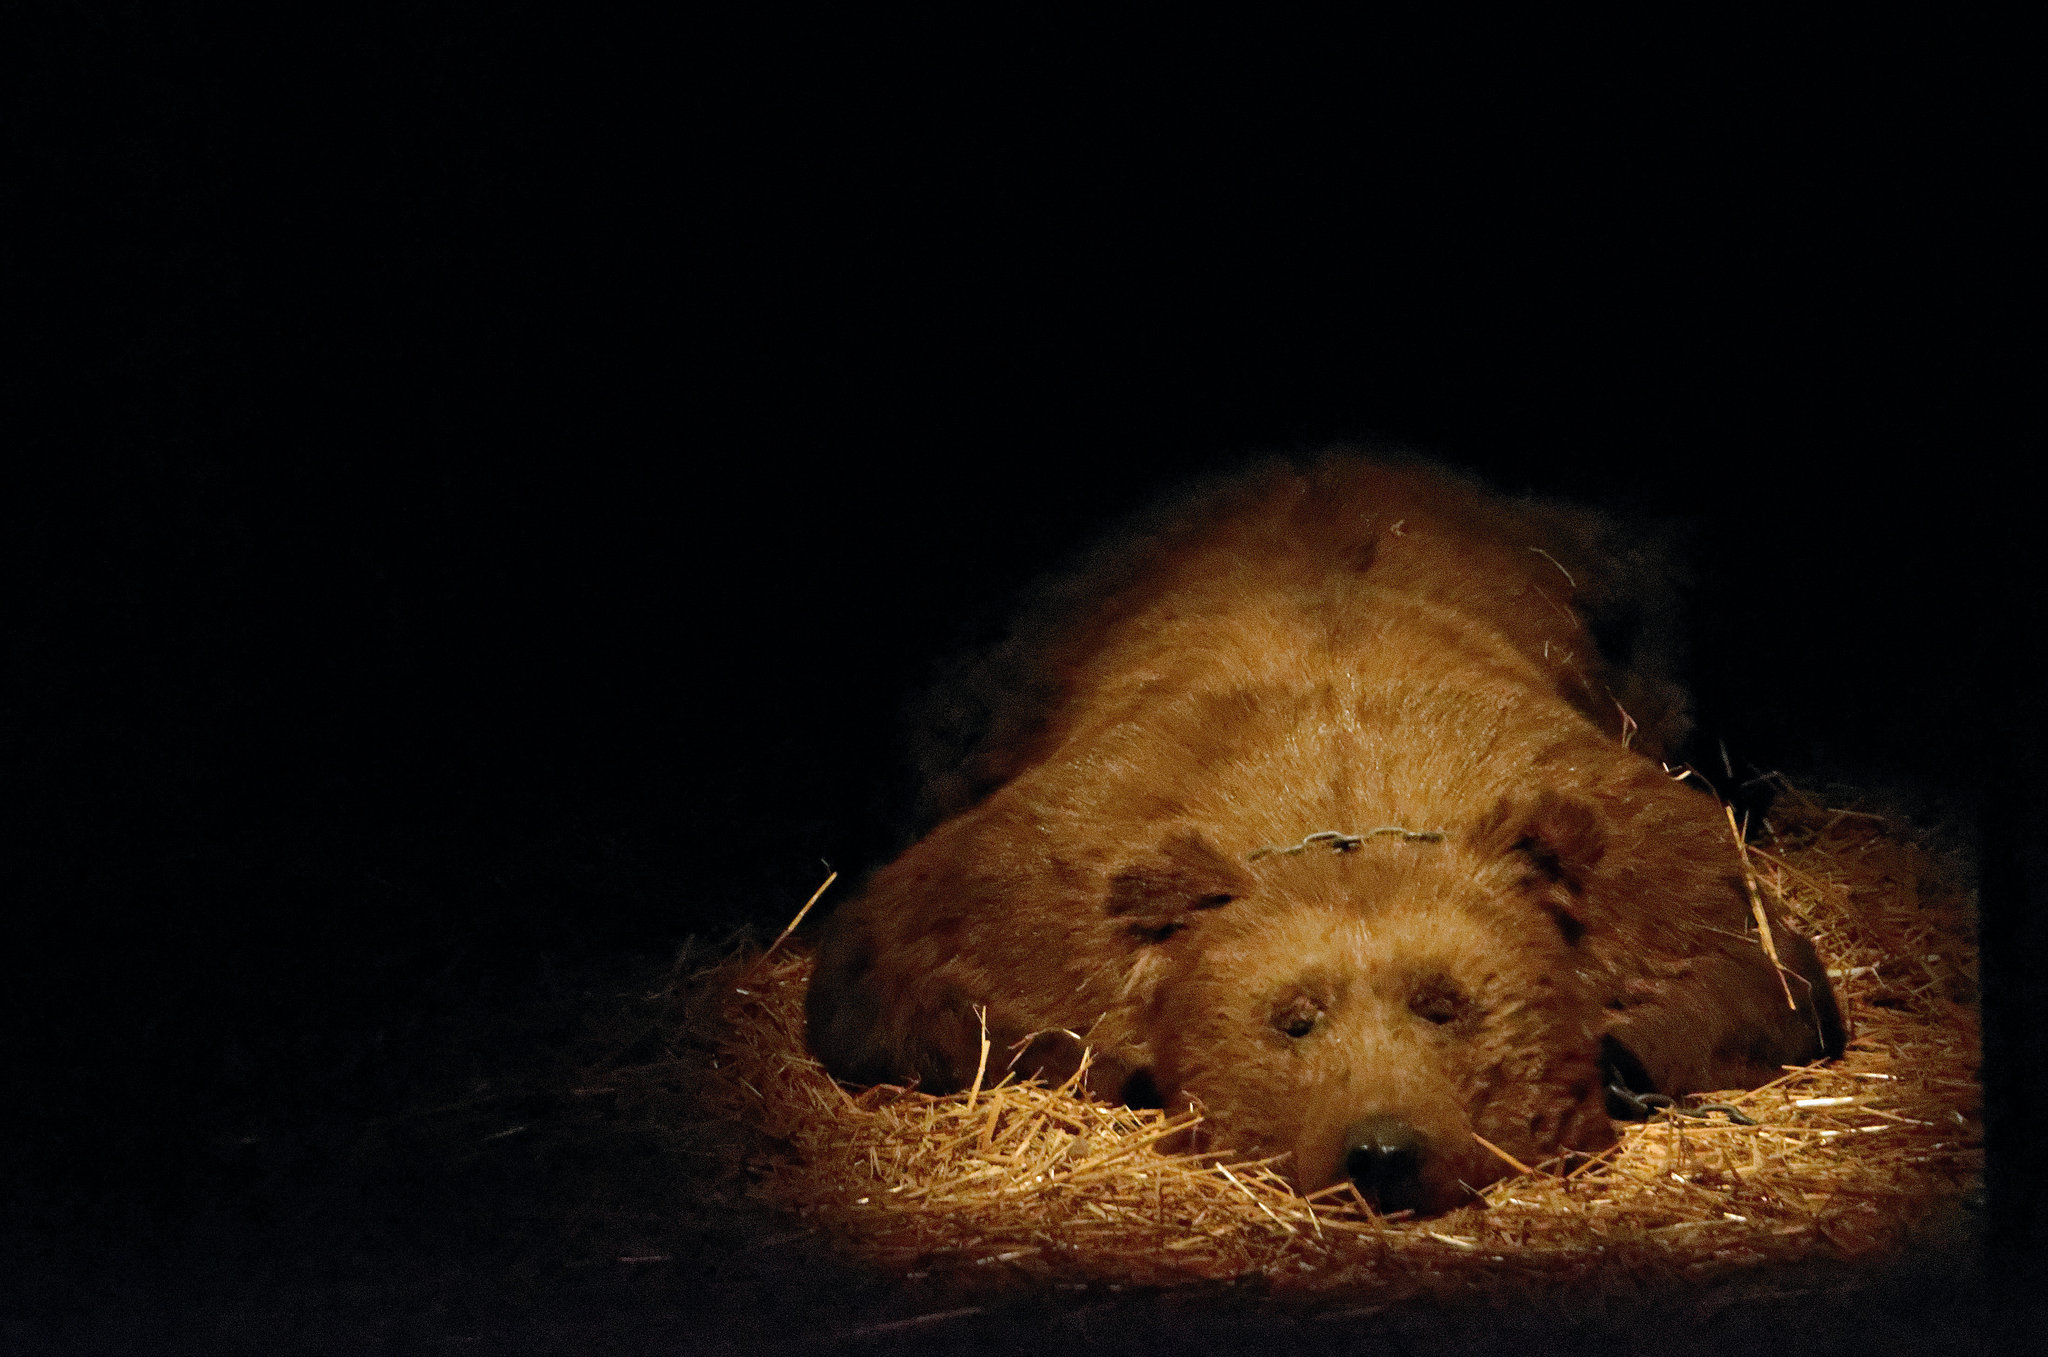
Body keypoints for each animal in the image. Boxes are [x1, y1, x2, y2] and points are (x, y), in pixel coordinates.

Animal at [798, 456, 1843, 1219]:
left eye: (1444, 1003)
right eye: (1292, 1017)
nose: (1381, 1148)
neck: (1344, 804)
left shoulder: (1623, 834)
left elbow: (1757, 969)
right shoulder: (1053, 862)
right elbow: (896, 973)